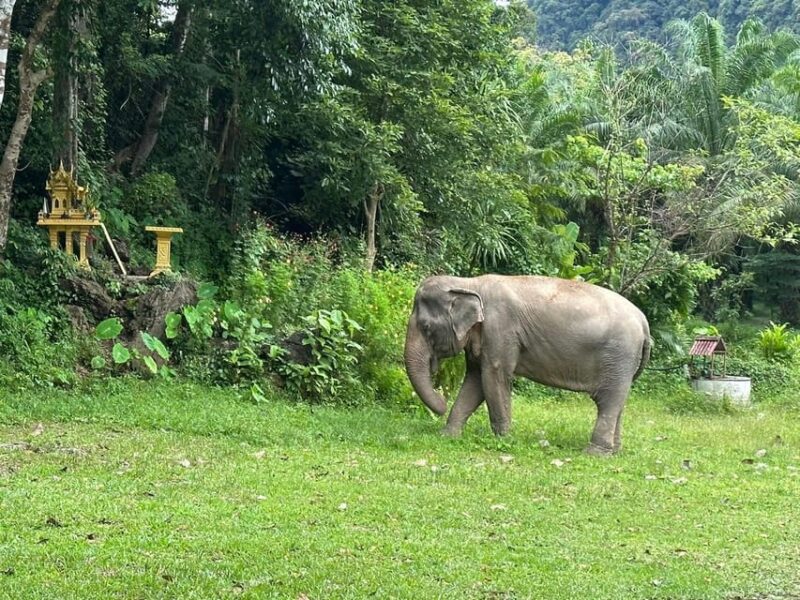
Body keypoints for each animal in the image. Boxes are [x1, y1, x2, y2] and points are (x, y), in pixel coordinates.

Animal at [403, 274, 651, 455]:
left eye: (426, 327)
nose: (442, 401)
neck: (468, 283)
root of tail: (644, 322)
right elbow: (474, 381)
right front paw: (447, 435)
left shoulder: (500, 331)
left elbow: (493, 378)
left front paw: (504, 440)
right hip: (622, 362)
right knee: (618, 402)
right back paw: (614, 451)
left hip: (619, 354)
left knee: (608, 402)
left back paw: (594, 453)